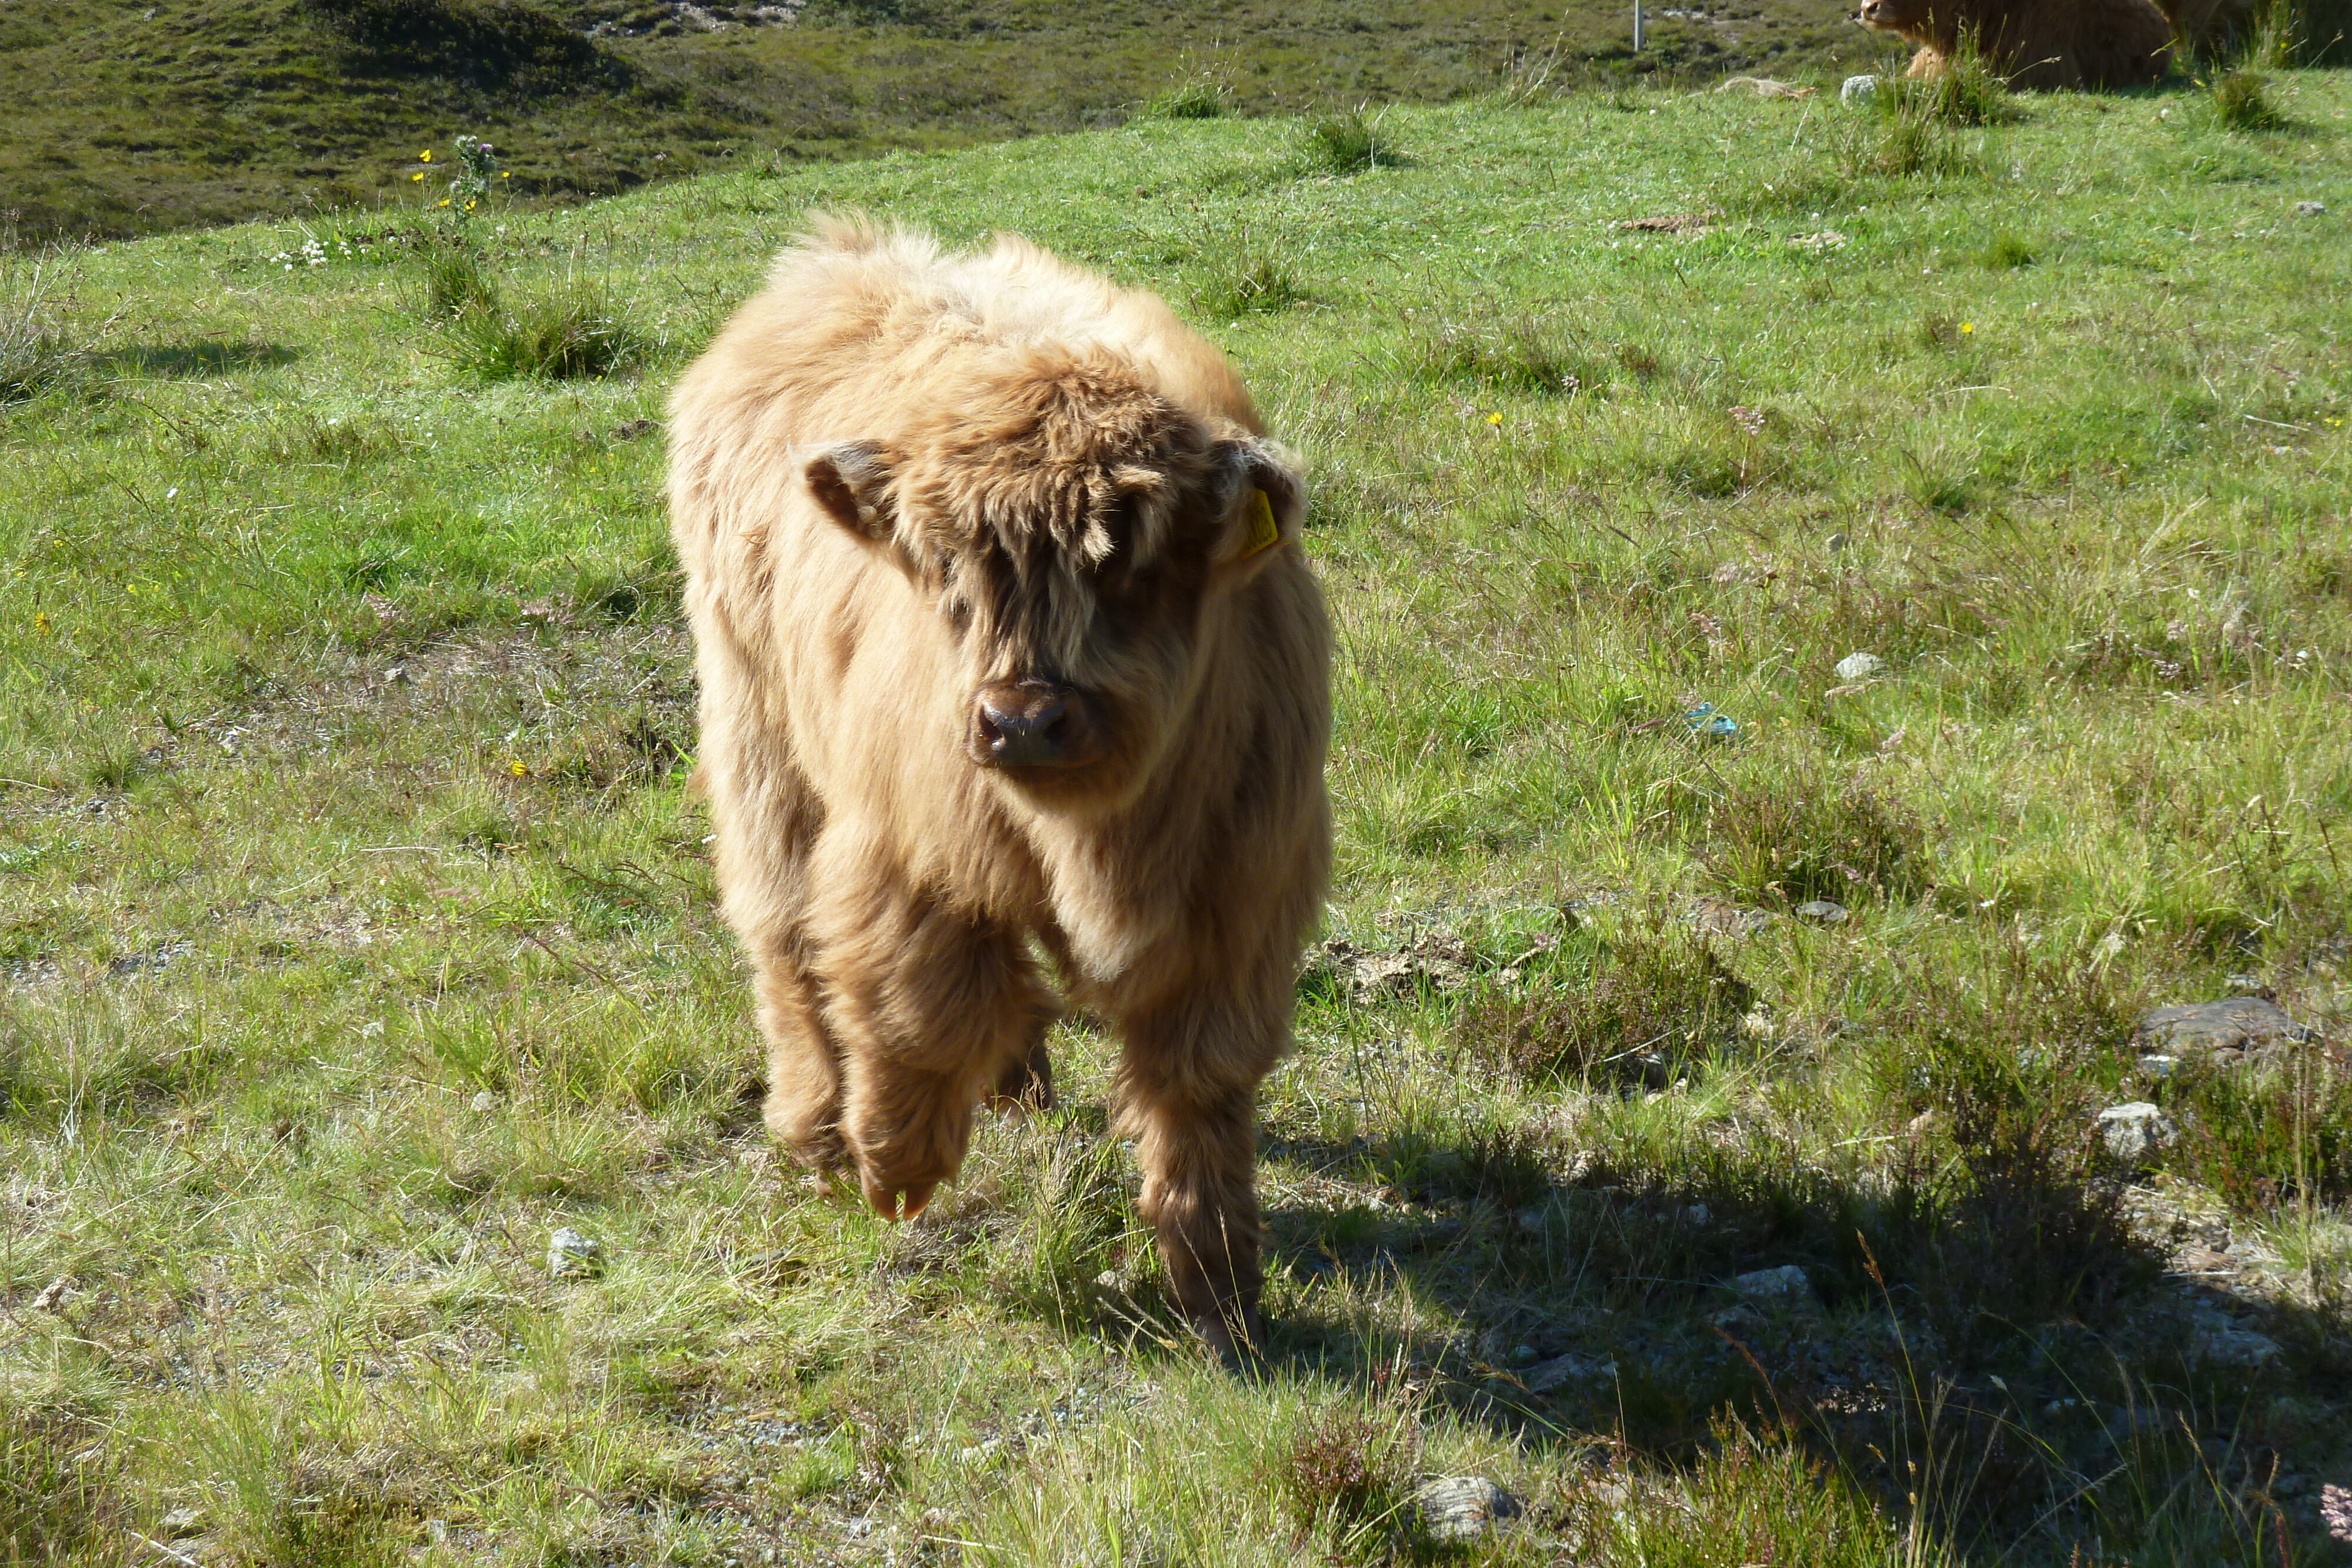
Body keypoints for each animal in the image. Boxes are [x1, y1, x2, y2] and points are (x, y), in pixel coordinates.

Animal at [673, 220, 1336, 1363]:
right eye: (947, 570)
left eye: (1133, 567)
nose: (1022, 720)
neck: (1099, 845)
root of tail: (834, 255)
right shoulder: (904, 849)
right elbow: (917, 1010)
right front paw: (891, 1167)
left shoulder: (1242, 892)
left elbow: (1200, 1080)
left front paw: (1219, 1290)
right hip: (756, 723)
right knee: (782, 932)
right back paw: (816, 1130)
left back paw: (1018, 1082)